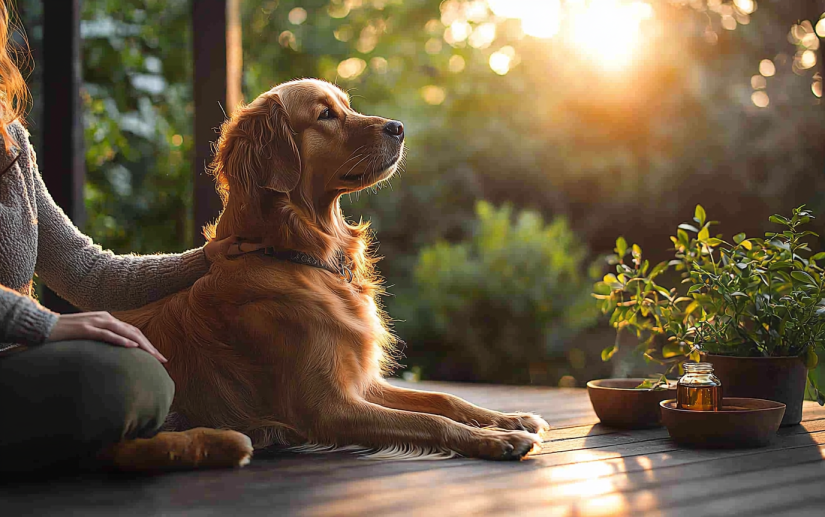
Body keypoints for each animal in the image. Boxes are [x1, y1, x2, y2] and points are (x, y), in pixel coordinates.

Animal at [109, 79, 548, 468]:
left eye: (347, 106)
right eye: (325, 115)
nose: (399, 127)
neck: (297, 255)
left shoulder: (362, 383)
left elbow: (443, 400)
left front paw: (510, 419)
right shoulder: (328, 407)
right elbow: (429, 421)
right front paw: (499, 440)